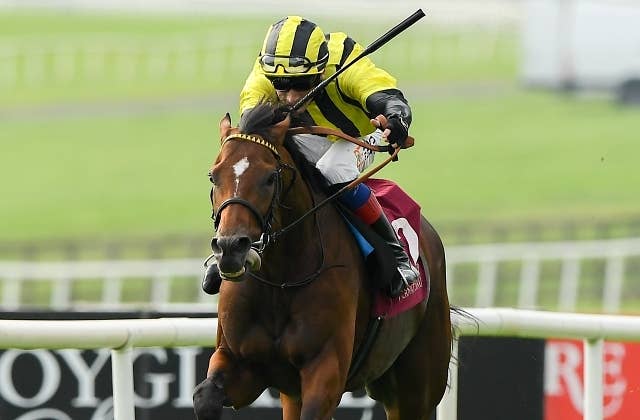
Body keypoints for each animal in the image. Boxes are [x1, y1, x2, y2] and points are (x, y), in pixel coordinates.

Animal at [193, 102, 452, 420]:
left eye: (270, 177)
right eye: (213, 176)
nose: (230, 247)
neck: (281, 280)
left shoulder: (326, 368)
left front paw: (395, 125)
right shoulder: (240, 361)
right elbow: (205, 397)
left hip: (418, 384)